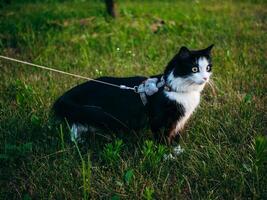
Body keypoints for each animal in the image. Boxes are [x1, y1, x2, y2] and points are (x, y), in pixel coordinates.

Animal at [53, 45, 215, 145]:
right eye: (194, 69)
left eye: (208, 68)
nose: (205, 78)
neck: (174, 89)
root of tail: (70, 92)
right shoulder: (159, 119)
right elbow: (163, 137)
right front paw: (167, 155)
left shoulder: (180, 119)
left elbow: (176, 136)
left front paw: (177, 151)